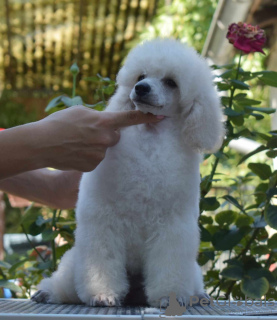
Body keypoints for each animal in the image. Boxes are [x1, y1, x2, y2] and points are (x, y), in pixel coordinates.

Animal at [31, 37, 223, 308]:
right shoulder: (102, 219)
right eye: (140, 76)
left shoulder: (173, 226)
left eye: (171, 82)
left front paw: (170, 296)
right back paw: (48, 292)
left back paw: (199, 295)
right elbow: (102, 259)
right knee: (65, 282)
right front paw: (102, 294)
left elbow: (170, 263)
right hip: (73, 264)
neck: (150, 139)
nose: (141, 88)